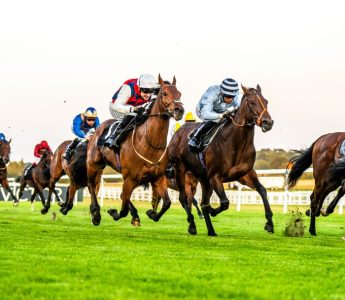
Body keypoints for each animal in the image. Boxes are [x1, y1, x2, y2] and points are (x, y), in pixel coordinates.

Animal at [86, 74, 183, 225]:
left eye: (179, 94)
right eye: (164, 93)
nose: (179, 110)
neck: (150, 144)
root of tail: (98, 129)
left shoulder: (158, 177)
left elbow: (167, 203)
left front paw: (151, 213)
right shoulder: (130, 178)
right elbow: (123, 210)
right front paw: (113, 212)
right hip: (94, 165)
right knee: (92, 186)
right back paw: (96, 214)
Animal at [168, 83, 272, 236]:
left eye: (266, 102)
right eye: (252, 102)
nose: (268, 122)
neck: (236, 142)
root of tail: (177, 133)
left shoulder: (244, 174)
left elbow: (263, 190)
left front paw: (269, 223)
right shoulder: (215, 176)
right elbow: (224, 202)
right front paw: (212, 210)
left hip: (204, 179)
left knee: (200, 202)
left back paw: (211, 231)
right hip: (180, 169)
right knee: (184, 198)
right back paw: (192, 225)